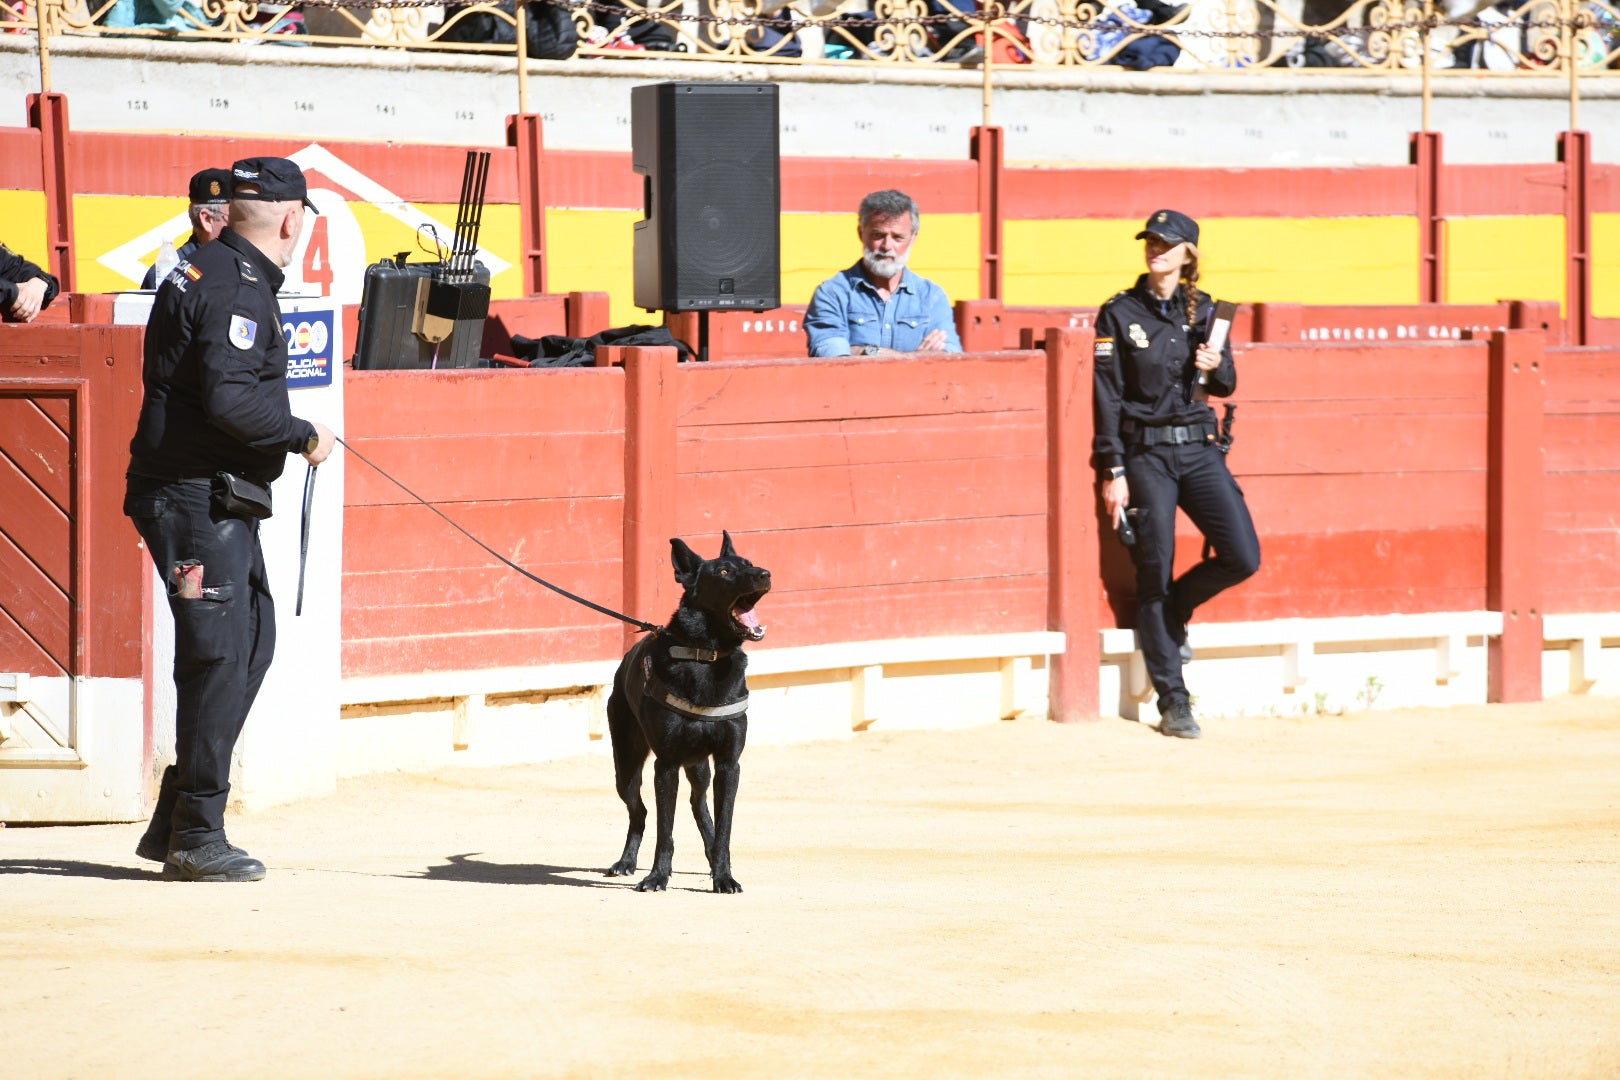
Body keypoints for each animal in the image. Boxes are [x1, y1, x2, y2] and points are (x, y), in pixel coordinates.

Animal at [609, 531, 771, 893]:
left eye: (749, 563)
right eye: (723, 572)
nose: (765, 574)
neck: (706, 655)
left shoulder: (728, 764)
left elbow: (724, 829)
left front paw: (724, 876)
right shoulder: (666, 765)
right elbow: (664, 831)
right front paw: (657, 876)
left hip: (699, 767)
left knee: (700, 807)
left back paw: (711, 861)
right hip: (626, 768)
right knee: (640, 813)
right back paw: (626, 862)